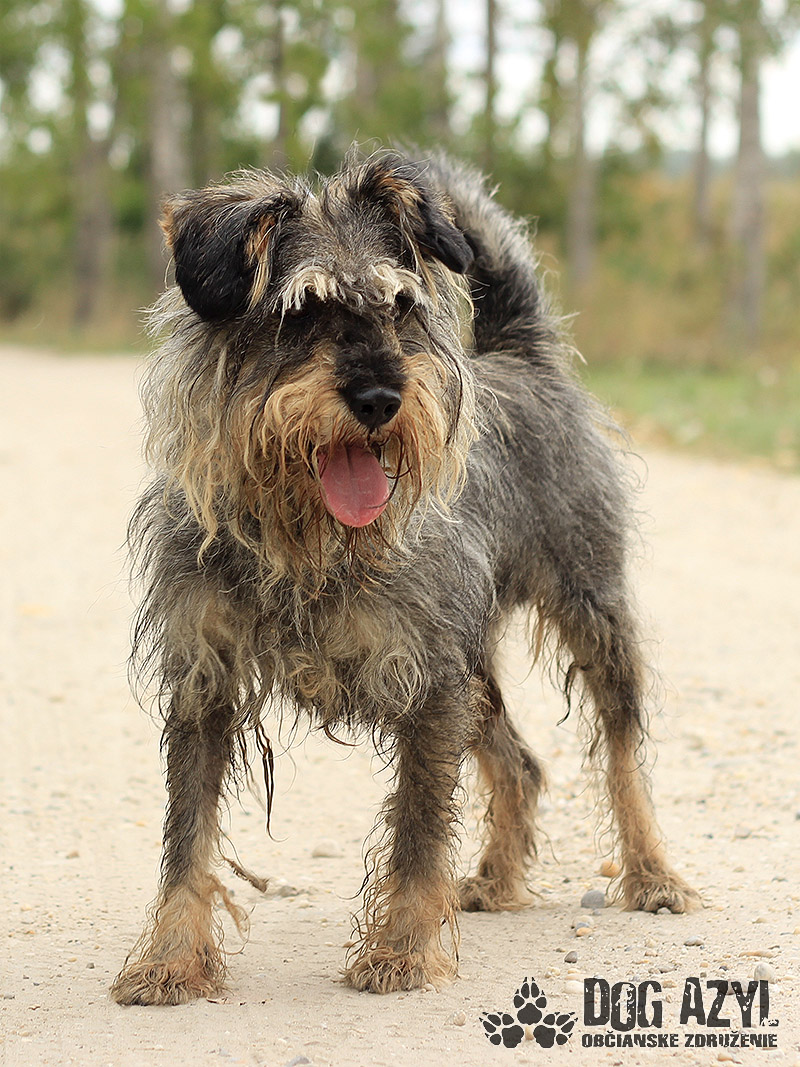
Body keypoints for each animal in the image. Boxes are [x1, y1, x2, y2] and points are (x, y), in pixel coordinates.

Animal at [111, 149, 697, 1006]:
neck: (304, 542)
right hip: (474, 661)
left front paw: (404, 950)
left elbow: (418, 828)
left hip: (591, 610)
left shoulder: (426, 683)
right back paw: (494, 879)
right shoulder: (204, 682)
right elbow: (185, 838)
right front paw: (170, 959)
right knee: (520, 762)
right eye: (302, 311)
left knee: (623, 753)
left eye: (400, 306)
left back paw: (653, 873)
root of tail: (522, 353)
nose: (383, 396)